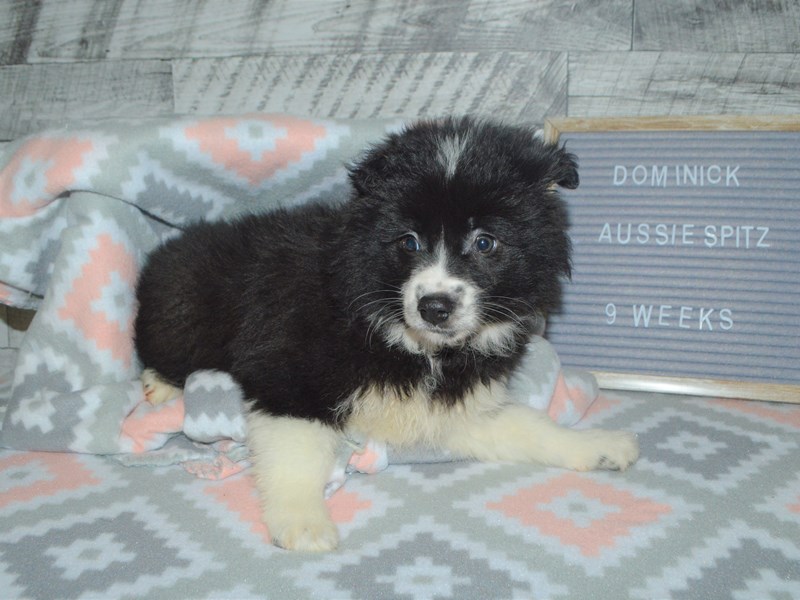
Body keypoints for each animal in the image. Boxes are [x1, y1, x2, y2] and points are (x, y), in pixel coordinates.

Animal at [134, 115, 640, 552]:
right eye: (408, 242)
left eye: (485, 242)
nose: (434, 307)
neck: (415, 345)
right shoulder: (288, 376)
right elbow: (297, 451)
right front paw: (303, 521)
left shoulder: (458, 409)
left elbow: (532, 427)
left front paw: (598, 446)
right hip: (184, 310)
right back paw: (159, 385)